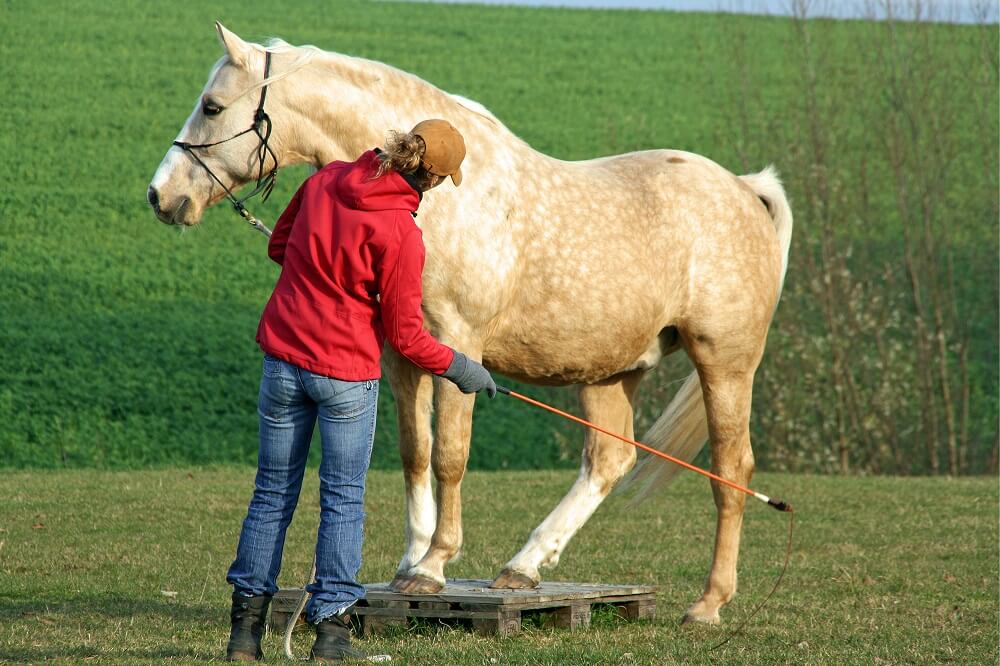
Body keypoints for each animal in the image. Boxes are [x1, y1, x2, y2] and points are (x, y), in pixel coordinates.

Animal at [148, 22, 792, 624]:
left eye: (212, 106)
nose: (160, 194)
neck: (444, 205)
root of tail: (745, 189)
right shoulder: (405, 353)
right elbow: (415, 451)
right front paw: (410, 563)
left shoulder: (459, 345)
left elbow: (450, 456)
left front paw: (434, 565)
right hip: (611, 371)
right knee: (608, 461)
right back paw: (522, 569)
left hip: (724, 364)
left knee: (730, 471)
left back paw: (708, 603)